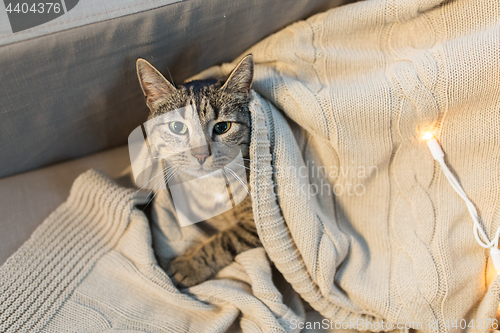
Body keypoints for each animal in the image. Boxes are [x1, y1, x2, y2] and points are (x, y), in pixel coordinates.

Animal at [137, 55, 262, 288]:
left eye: (223, 127)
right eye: (177, 127)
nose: (201, 154)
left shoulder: (256, 224)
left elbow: (225, 239)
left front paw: (189, 266)